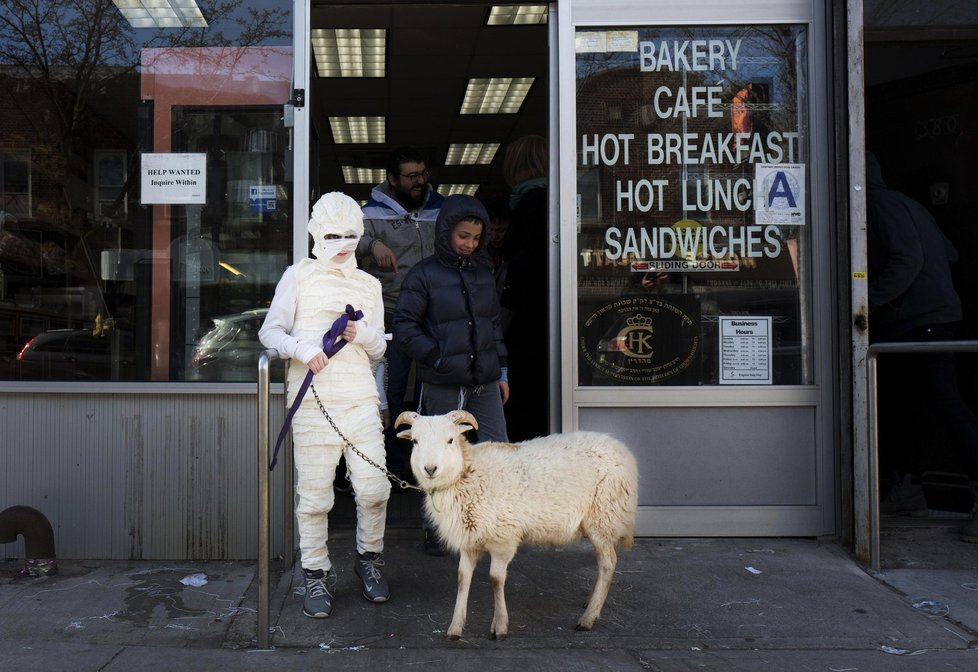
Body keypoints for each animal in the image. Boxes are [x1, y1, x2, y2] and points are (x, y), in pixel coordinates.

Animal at [392, 410, 636, 640]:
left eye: (450, 440)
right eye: (415, 441)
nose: (430, 469)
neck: (468, 474)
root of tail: (621, 449)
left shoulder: (504, 538)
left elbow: (496, 579)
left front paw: (500, 626)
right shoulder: (470, 539)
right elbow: (462, 579)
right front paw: (455, 627)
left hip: (603, 516)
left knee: (608, 563)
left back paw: (588, 617)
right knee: (603, 562)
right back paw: (591, 601)